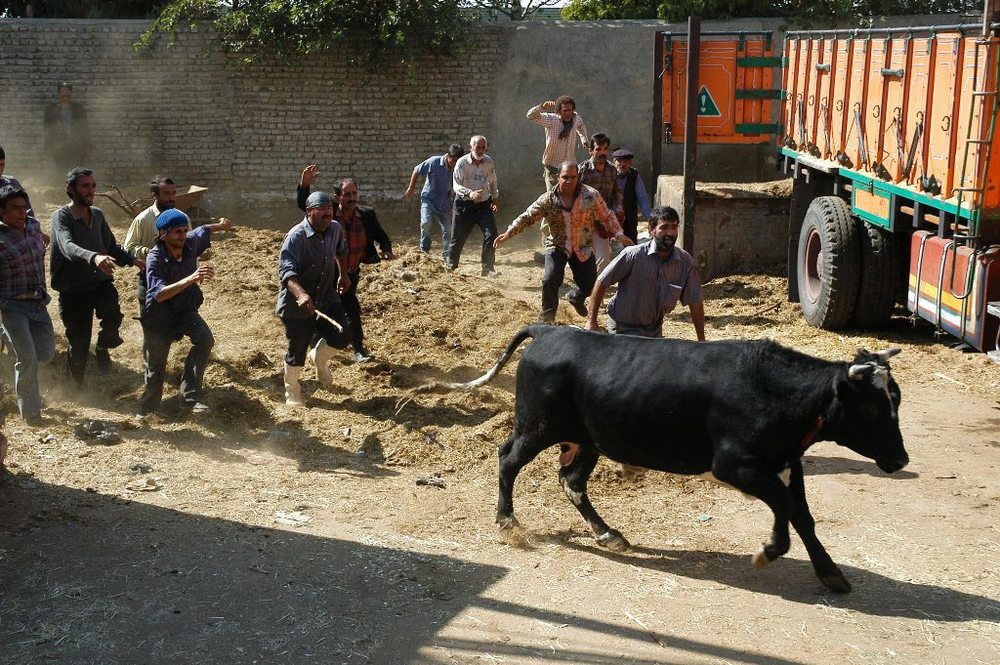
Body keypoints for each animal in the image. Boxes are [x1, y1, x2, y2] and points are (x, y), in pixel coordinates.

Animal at [418, 324, 912, 588]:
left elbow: (802, 515)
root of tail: (550, 330)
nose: (901, 459)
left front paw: (830, 574)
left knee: (572, 481)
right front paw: (769, 550)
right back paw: (508, 522)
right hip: (536, 428)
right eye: (872, 408)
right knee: (507, 459)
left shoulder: (786, 464)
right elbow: (786, 509)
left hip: (589, 439)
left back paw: (608, 534)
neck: (778, 390)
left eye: (898, 399)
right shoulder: (736, 465)